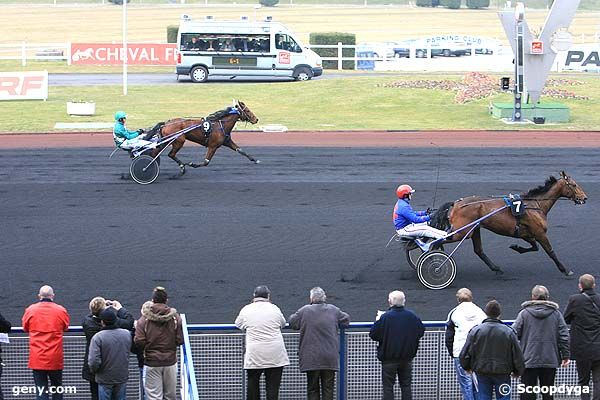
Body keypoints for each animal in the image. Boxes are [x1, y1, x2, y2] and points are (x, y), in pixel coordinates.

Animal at [428, 170, 588, 276]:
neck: (535, 205)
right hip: (462, 232)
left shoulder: (525, 233)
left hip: (474, 229)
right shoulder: (540, 233)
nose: (584, 198)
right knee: (438, 240)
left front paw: (516, 247)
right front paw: (565, 270)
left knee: (478, 250)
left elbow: (534, 247)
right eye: (574, 185)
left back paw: (496, 268)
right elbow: (550, 252)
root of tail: (456, 203)